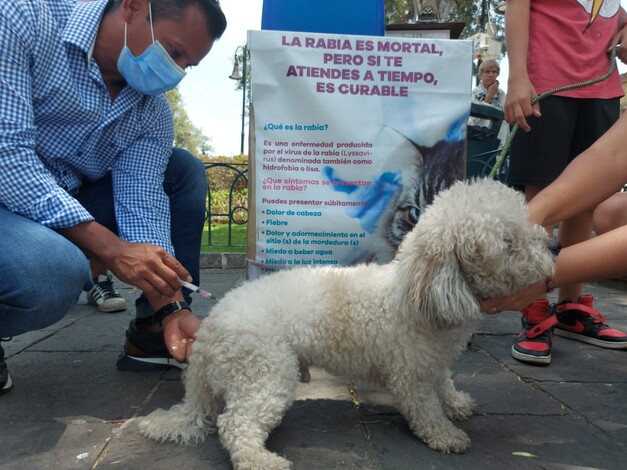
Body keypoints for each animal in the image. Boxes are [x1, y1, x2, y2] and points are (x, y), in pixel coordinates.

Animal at [141, 178, 556, 468]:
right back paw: (260, 461)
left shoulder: (432, 362)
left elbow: (445, 382)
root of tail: (210, 329)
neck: (414, 291)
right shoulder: (410, 375)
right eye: (508, 243)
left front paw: (456, 403)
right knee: (236, 425)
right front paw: (446, 435)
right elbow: (425, 410)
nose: (554, 246)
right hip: (265, 372)